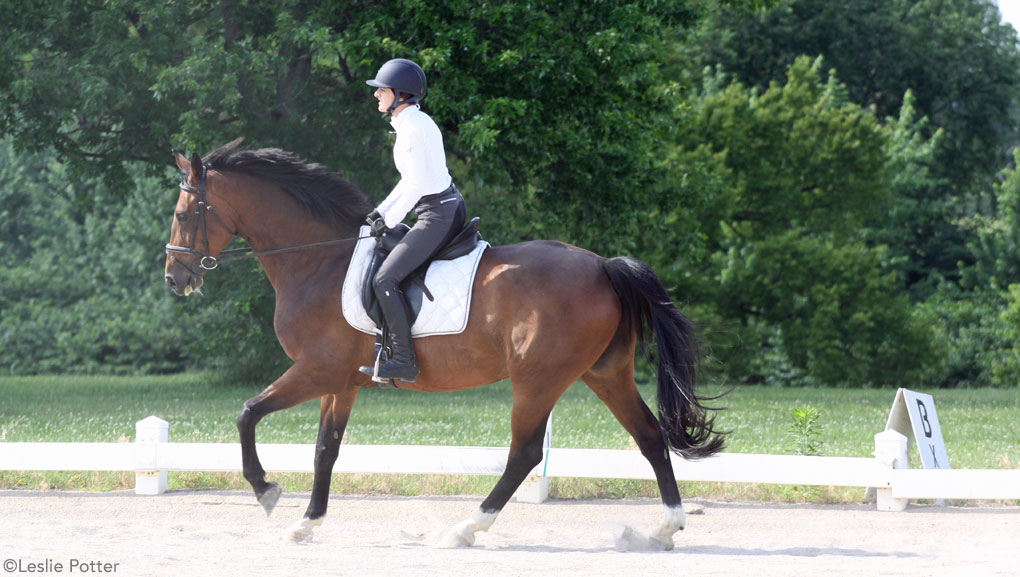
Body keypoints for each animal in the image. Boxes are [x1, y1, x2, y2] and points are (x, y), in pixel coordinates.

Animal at [163, 140, 726, 550]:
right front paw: (306, 523)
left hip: (538, 379)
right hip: (604, 373)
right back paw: (663, 530)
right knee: (649, 437)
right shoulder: (342, 381)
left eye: (186, 213)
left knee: (524, 454)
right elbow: (325, 450)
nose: (174, 279)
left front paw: (266, 490)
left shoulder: (316, 370)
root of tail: (603, 265)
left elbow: (247, 413)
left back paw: (465, 529)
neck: (317, 260)